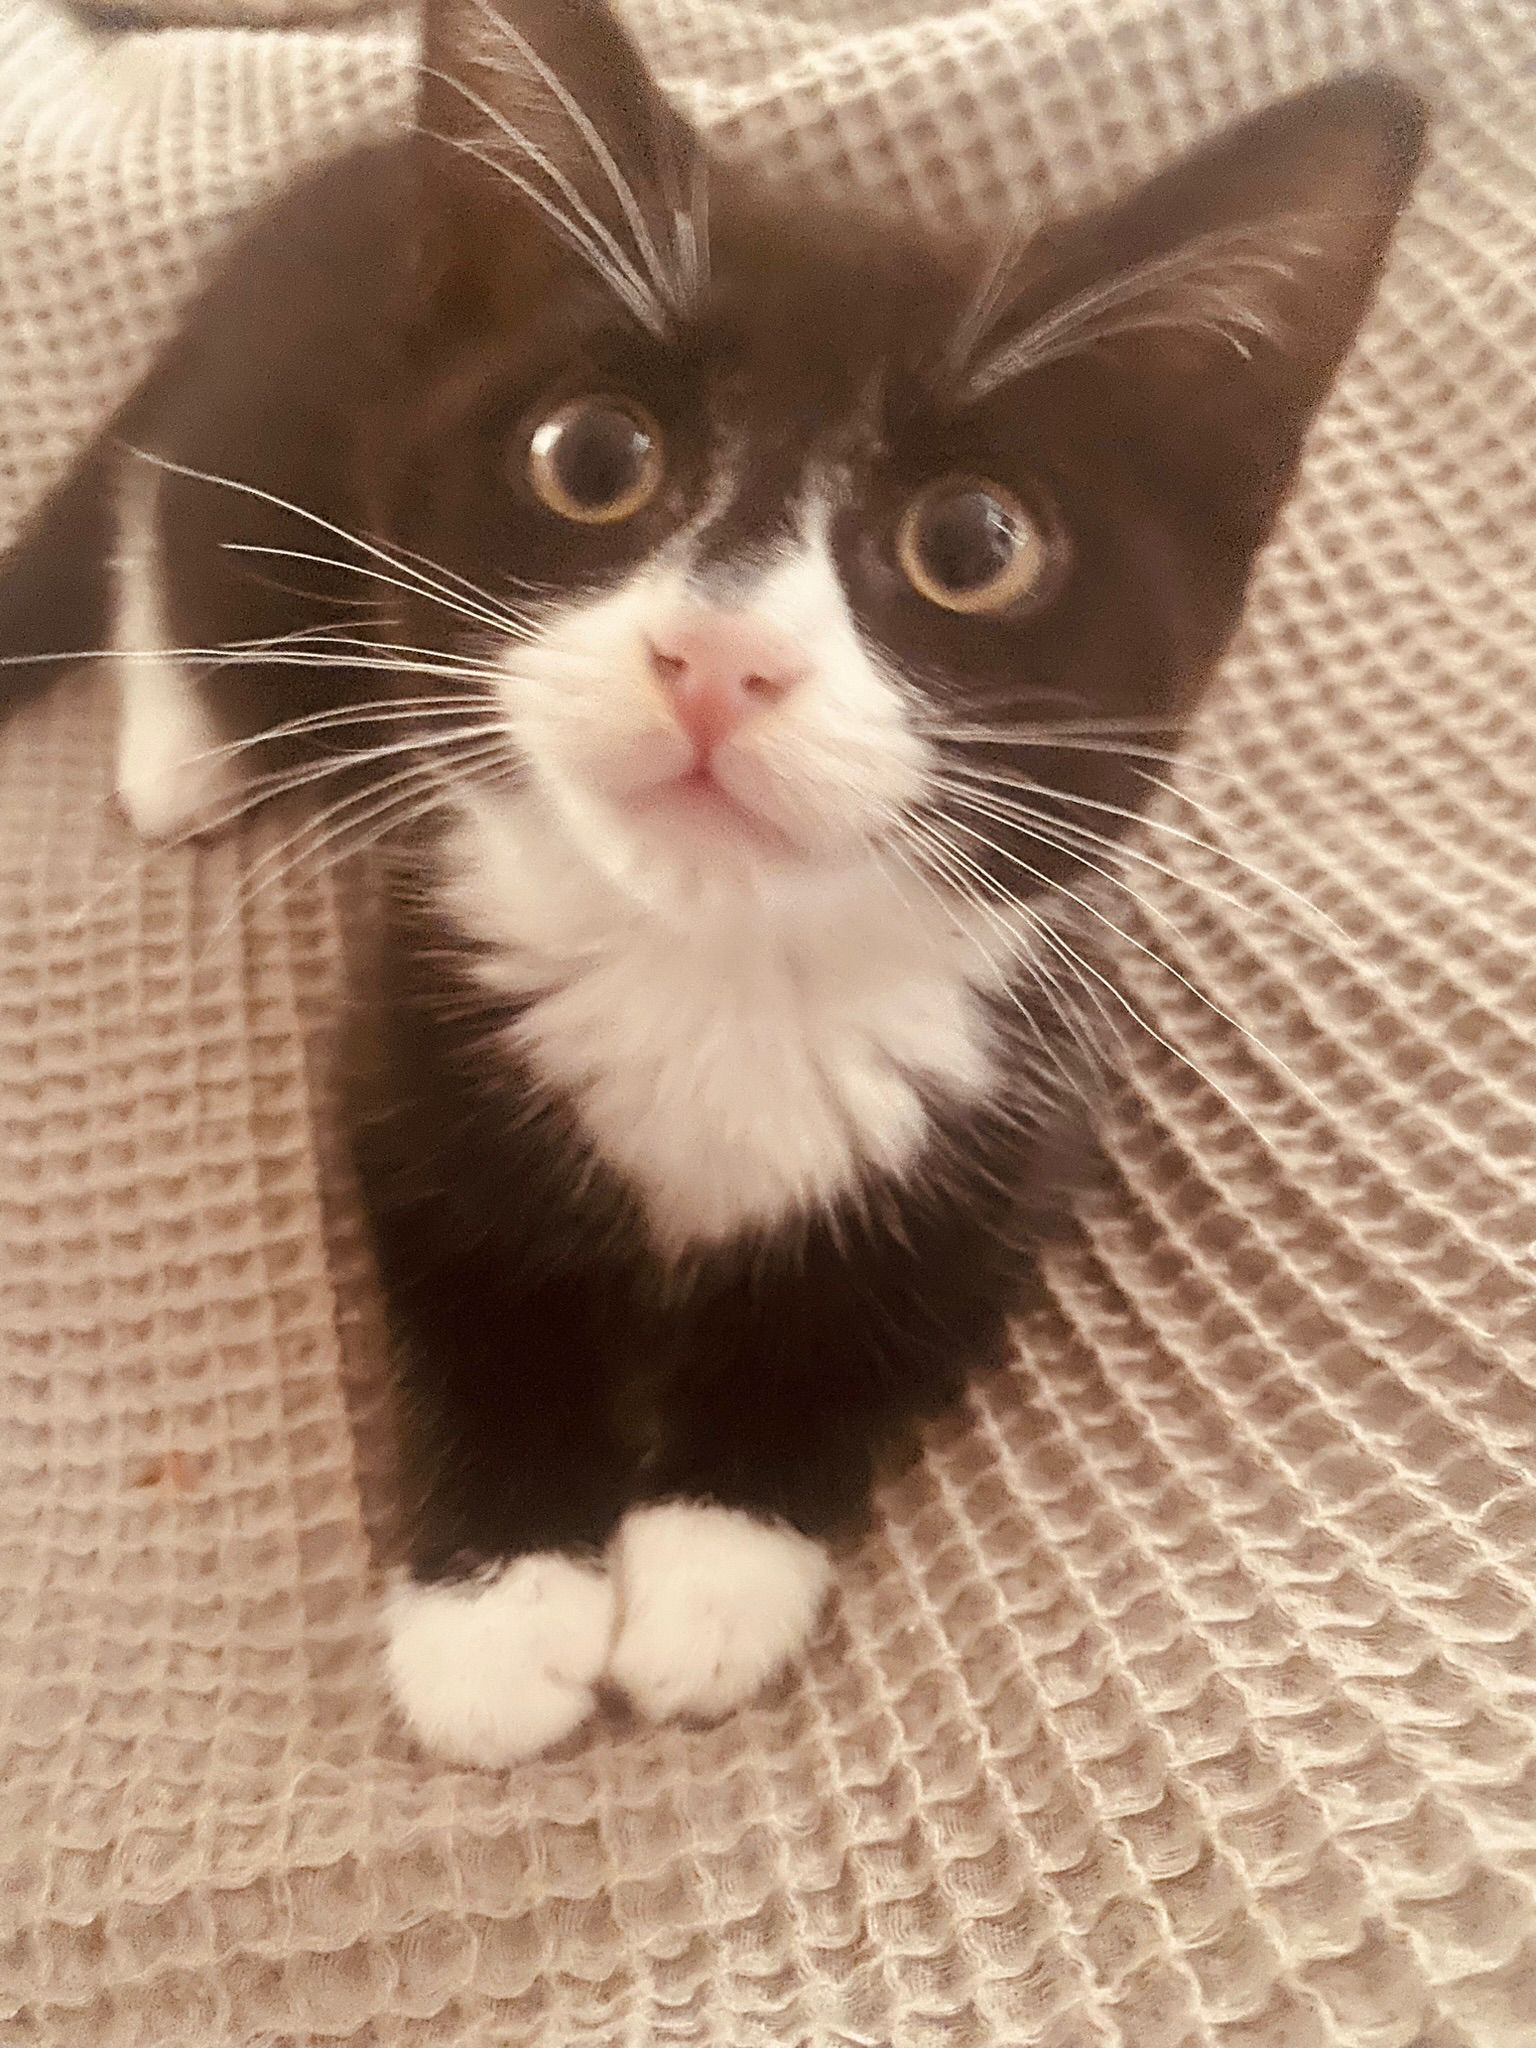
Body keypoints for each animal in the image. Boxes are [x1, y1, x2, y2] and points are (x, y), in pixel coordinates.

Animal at [0, 0, 1426, 1765]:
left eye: (975, 542)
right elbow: (470, 1288)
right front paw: (497, 1612)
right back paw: (177, 755)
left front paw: (709, 1570)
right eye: (595, 455)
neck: (715, 966)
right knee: (172, 533)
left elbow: (876, 1316)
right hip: (274, 477)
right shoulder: (416, 1015)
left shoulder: (1025, 1118)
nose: (720, 656)